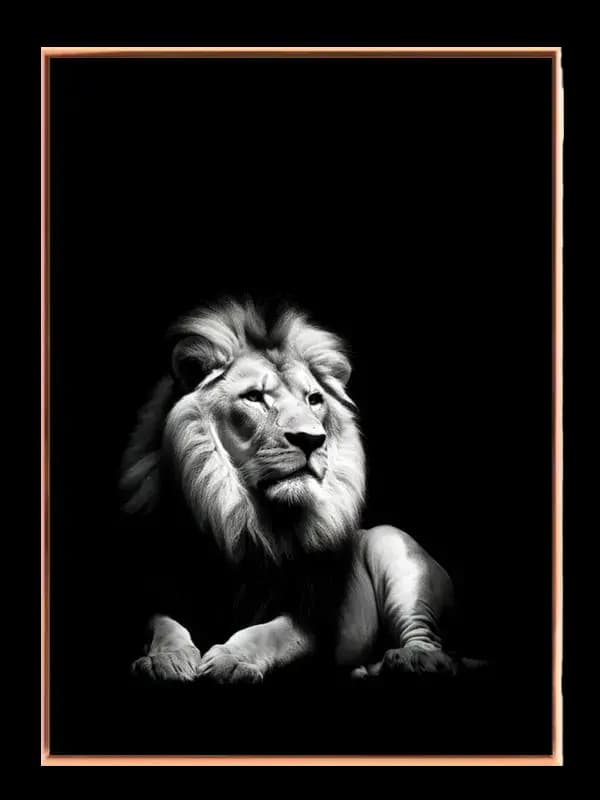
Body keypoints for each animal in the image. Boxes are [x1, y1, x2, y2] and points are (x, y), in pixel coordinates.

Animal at [121, 298, 473, 684]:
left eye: (314, 399)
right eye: (254, 397)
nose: (312, 439)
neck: (241, 520)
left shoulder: (313, 618)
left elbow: (267, 633)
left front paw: (231, 660)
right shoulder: (158, 589)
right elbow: (163, 625)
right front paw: (166, 659)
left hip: (392, 544)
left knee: (432, 643)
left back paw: (413, 659)